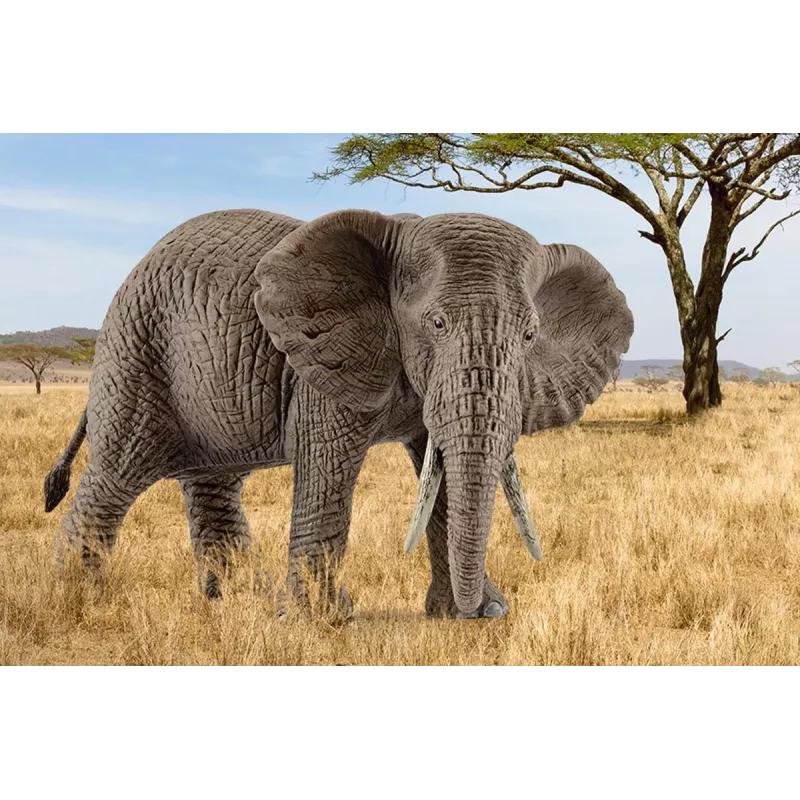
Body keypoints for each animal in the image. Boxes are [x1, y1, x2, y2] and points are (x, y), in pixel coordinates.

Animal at [43, 207, 633, 619]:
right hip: (137, 349)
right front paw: (320, 622)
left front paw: (472, 614)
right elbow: (328, 468)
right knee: (116, 475)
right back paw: (81, 604)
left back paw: (236, 604)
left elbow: (438, 472)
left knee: (212, 484)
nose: (483, 610)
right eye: (436, 324)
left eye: (530, 336)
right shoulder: (323, 360)